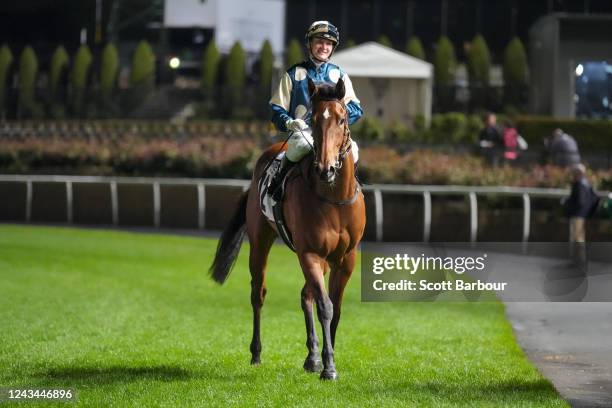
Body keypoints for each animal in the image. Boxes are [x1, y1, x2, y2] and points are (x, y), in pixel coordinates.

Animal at [208, 77, 366, 380]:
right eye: (313, 120)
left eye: (341, 119)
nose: (325, 168)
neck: (334, 198)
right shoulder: (310, 253)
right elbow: (325, 306)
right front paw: (328, 366)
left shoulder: (346, 258)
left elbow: (336, 308)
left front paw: (325, 358)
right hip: (260, 241)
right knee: (259, 293)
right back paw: (257, 353)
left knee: (305, 296)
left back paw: (311, 357)